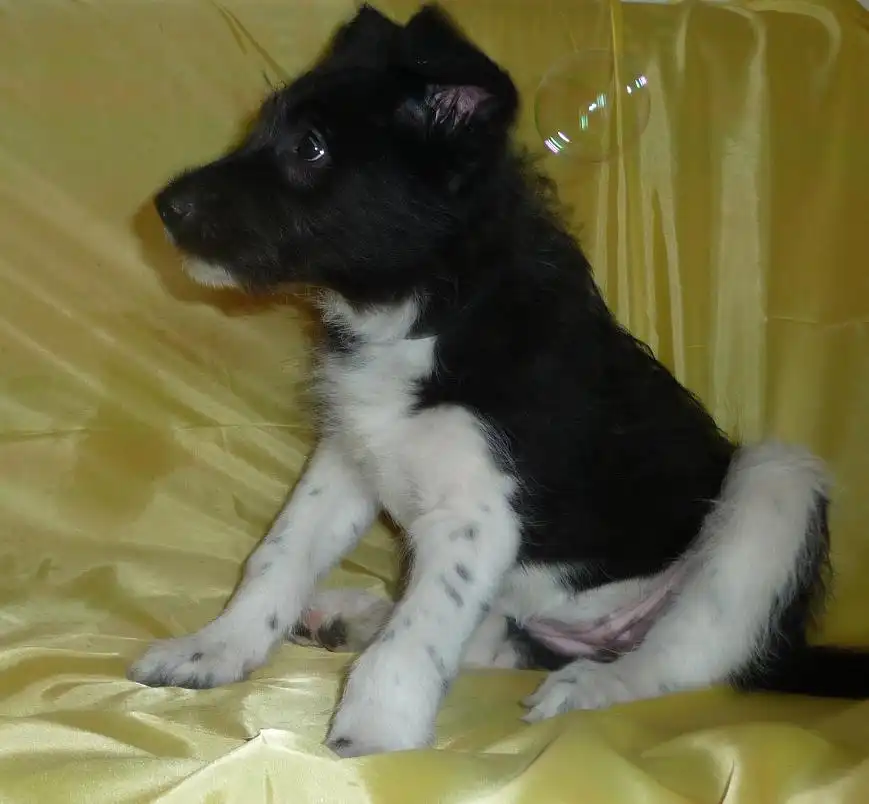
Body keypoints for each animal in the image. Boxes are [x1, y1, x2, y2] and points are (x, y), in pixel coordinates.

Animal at [129, 3, 869, 757]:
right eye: (263, 128)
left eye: (310, 149)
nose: (164, 205)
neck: (422, 313)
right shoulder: (345, 458)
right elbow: (276, 558)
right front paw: (214, 648)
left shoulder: (477, 512)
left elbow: (416, 634)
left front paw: (375, 736)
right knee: (491, 640)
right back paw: (356, 616)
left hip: (773, 483)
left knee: (691, 653)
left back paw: (592, 687)